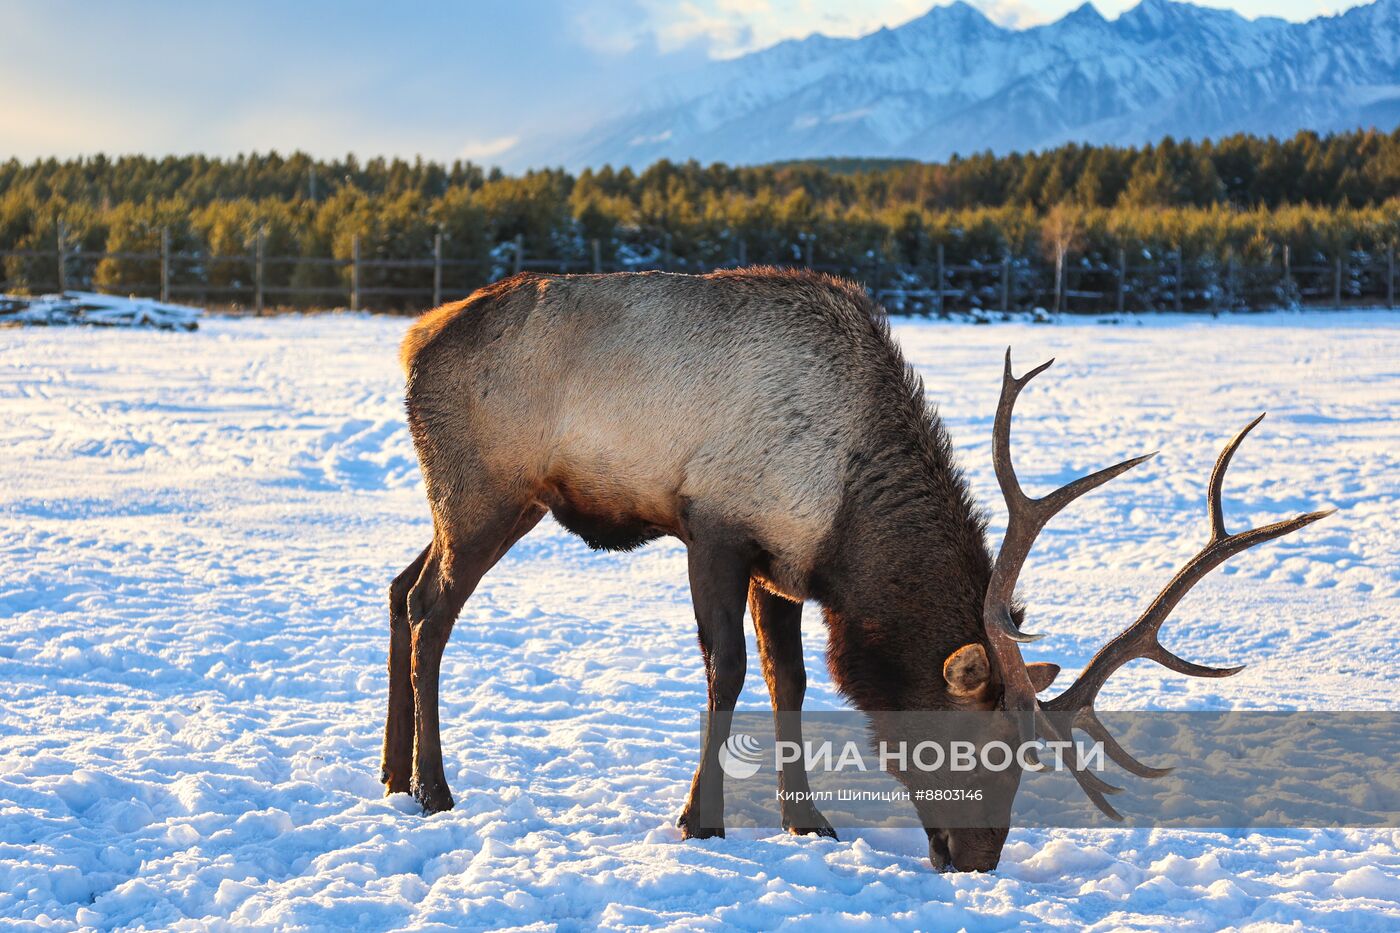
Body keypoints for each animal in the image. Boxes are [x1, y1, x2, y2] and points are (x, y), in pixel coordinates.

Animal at [386, 264, 1332, 868]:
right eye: (982, 749)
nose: (977, 859)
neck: (848, 515)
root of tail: (411, 342)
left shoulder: (781, 564)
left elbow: (792, 681)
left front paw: (807, 821)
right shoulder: (715, 526)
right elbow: (728, 672)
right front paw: (700, 819)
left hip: (480, 500)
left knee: (398, 586)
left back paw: (393, 772)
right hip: (482, 489)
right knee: (431, 607)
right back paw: (435, 787)